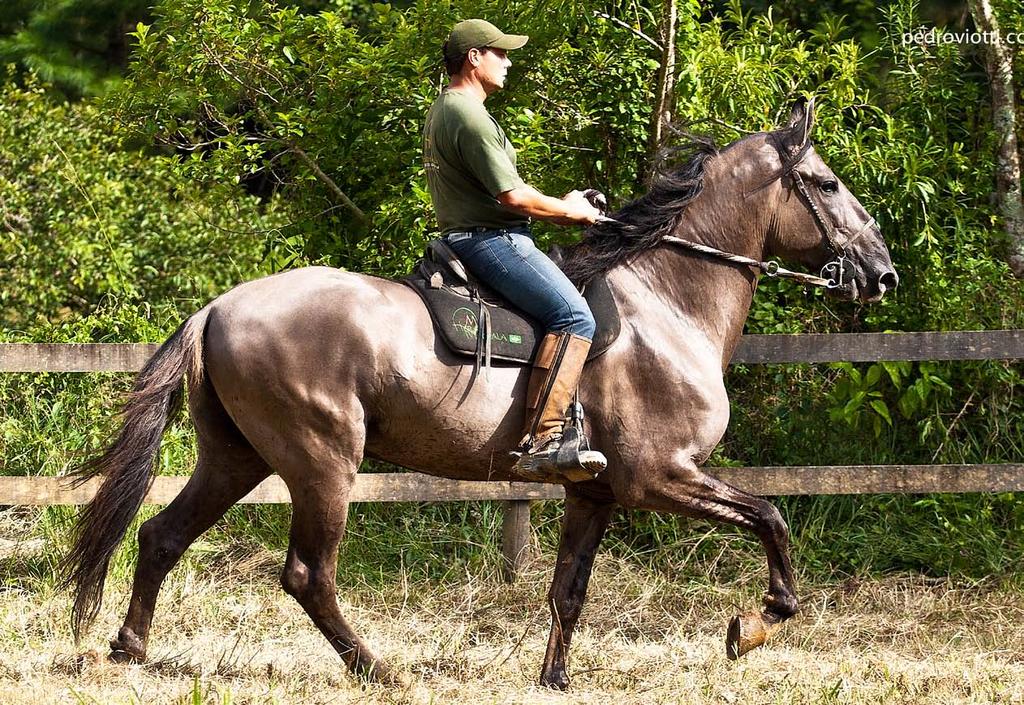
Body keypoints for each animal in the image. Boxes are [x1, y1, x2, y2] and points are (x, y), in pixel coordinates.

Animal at [64, 99, 897, 688]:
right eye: (827, 184)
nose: (883, 274)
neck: (668, 302)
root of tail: (217, 308)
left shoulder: (596, 491)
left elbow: (568, 590)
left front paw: (555, 678)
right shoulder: (659, 475)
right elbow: (770, 516)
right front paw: (757, 623)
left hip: (237, 458)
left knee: (160, 535)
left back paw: (129, 647)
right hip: (321, 463)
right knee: (307, 574)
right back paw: (377, 668)